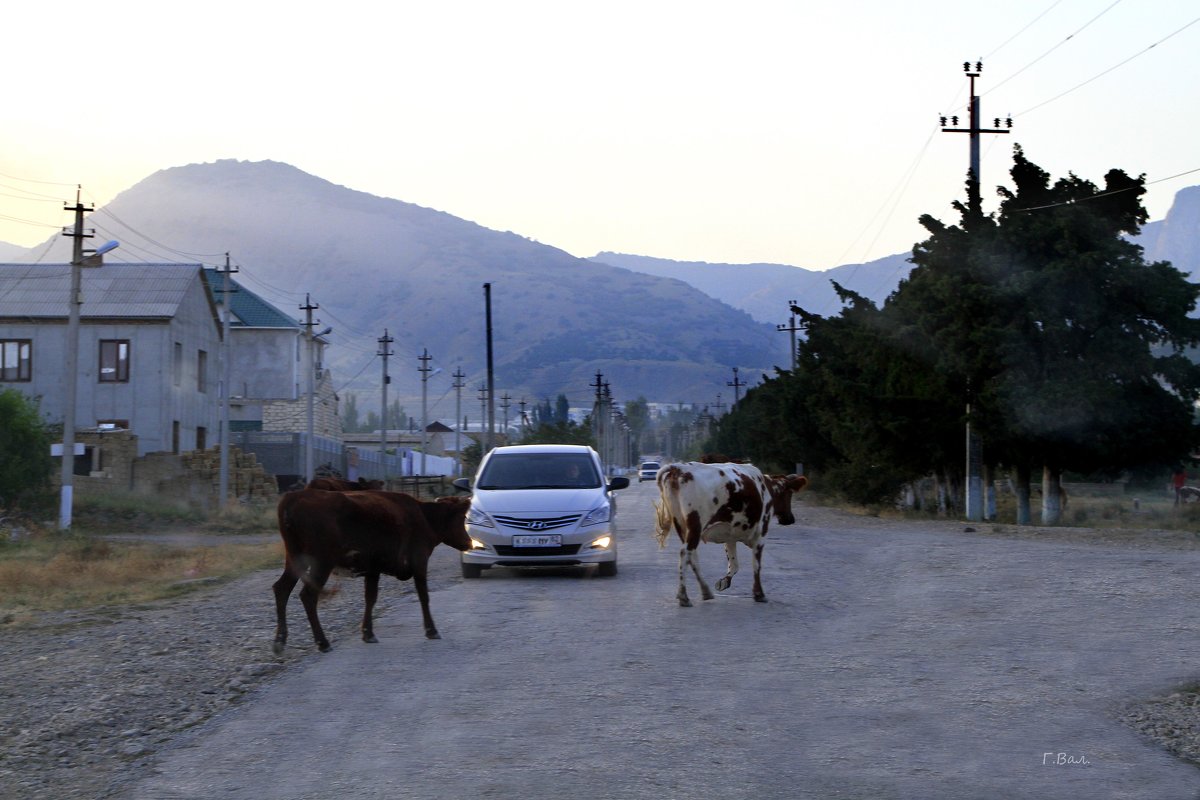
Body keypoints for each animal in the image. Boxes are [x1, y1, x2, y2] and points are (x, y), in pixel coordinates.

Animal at [274, 491, 470, 652]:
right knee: (308, 595)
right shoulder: (419, 562)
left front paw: (368, 633)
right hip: (322, 561)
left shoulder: (373, 569)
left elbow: (370, 598)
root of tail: (294, 496)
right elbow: (424, 596)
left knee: (282, 589)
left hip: (294, 558)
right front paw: (431, 630)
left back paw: (279, 641)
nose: (469, 543)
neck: (424, 516)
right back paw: (323, 642)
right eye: (462, 517)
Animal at [652, 462, 811, 606]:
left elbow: (734, 564)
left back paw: (705, 591)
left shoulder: (730, 536)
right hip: (695, 526)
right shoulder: (761, 533)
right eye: (789, 494)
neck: (766, 488)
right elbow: (756, 565)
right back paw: (684, 596)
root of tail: (678, 468)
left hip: (682, 527)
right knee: (685, 553)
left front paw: (724, 582)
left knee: (692, 556)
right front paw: (759, 593)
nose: (790, 519)